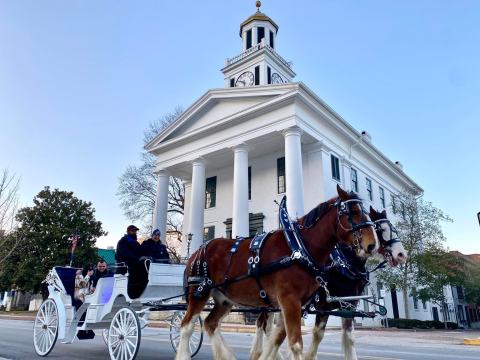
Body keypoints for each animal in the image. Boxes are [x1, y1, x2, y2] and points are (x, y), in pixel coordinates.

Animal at [175, 186, 378, 360]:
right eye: (353, 212)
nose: (372, 244)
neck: (299, 247)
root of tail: (196, 252)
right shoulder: (290, 300)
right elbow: (295, 343)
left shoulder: (295, 304)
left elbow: (278, 337)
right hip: (199, 293)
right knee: (187, 326)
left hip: (224, 300)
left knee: (210, 324)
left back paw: (227, 355)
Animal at [251, 205, 408, 360]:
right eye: (379, 229)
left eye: (393, 229)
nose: (401, 254)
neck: (343, 264)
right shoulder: (322, 304)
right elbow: (317, 334)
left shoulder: (349, 305)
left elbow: (349, 338)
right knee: (263, 324)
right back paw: (259, 353)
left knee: (266, 326)